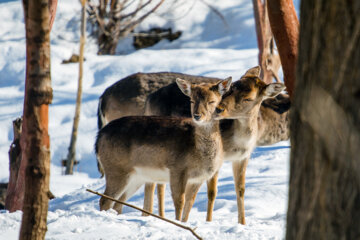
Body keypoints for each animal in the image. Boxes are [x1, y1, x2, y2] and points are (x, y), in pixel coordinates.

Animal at [94, 77, 232, 221]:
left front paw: (184, 223)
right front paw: (177, 222)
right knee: (105, 200)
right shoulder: (177, 169)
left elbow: (189, 203)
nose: (197, 116)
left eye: (212, 101)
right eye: (192, 100)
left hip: (136, 177)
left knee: (118, 203)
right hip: (116, 169)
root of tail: (98, 138)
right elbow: (179, 201)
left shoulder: (198, 178)